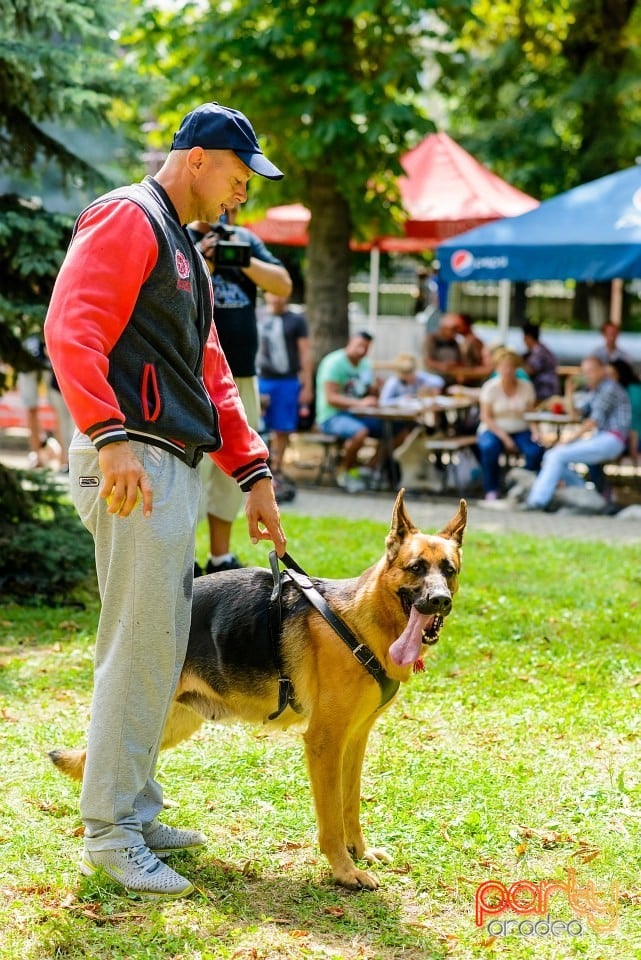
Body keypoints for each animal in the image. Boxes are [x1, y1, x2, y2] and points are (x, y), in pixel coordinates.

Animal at [51, 496, 464, 892]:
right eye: (415, 568)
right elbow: (331, 817)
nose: (441, 600)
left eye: (449, 570)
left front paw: (359, 851)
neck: (358, 621)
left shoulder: (354, 741)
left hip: (170, 723)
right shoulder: (324, 743)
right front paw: (344, 871)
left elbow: (350, 805)